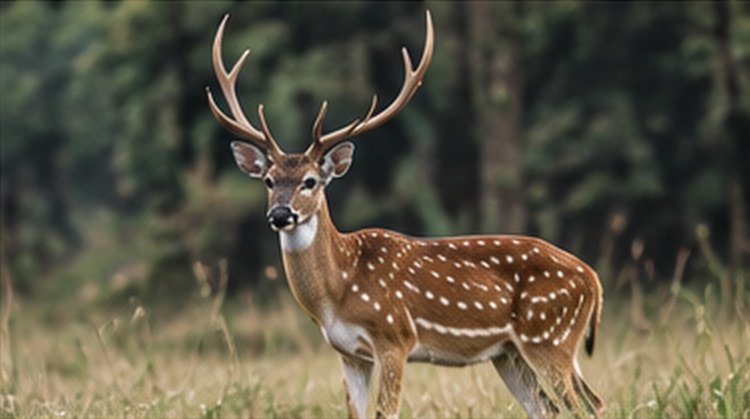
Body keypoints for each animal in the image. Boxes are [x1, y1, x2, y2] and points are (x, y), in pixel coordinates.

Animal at [207, 11, 604, 419]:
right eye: (269, 180)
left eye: (310, 181)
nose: (280, 214)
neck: (338, 290)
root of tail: (593, 280)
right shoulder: (348, 353)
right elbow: (356, 413)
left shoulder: (394, 336)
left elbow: (386, 412)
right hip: (510, 353)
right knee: (553, 407)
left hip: (549, 336)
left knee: (587, 405)